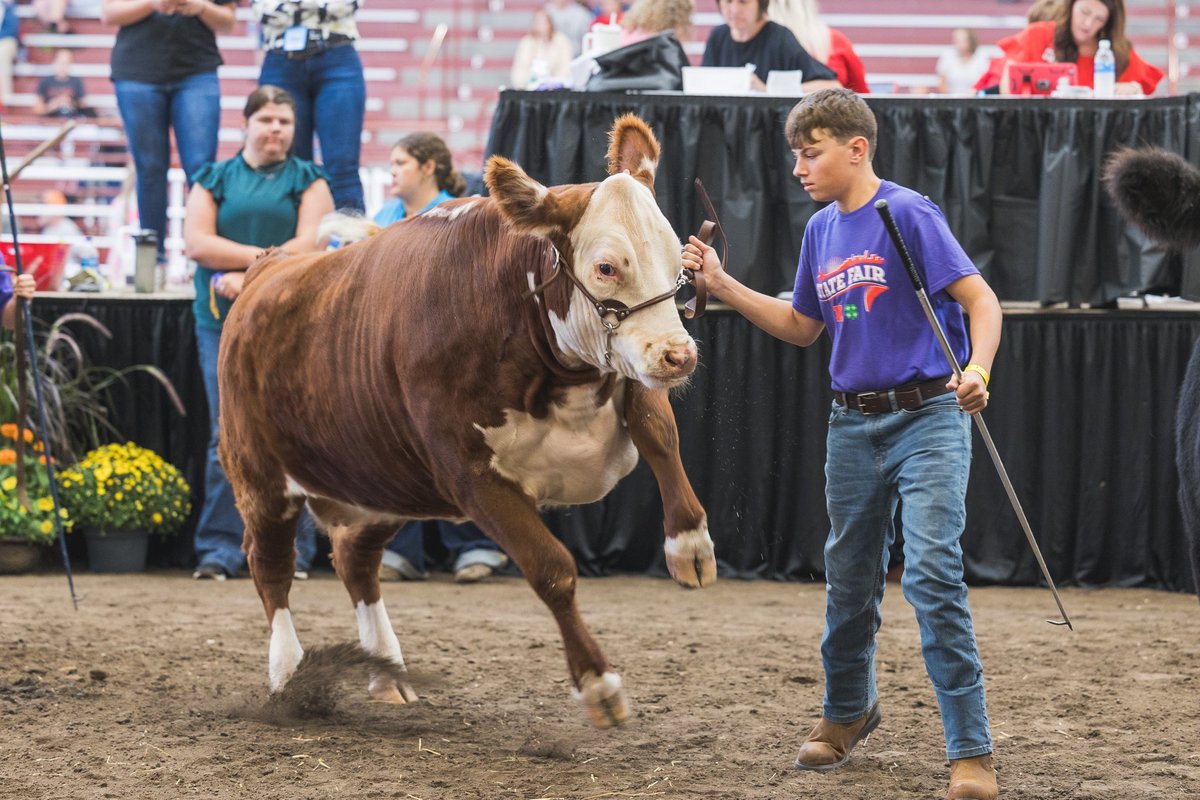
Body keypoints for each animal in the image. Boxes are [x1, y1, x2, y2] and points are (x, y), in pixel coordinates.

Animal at [217, 115, 718, 726]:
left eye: (678, 258)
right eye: (606, 267)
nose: (679, 356)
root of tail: (268, 266)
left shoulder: (623, 372)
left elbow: (659, 432)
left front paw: (690, 545)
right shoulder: (470, 474)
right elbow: (552, 569)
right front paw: (599, 684)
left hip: (387, 481)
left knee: (355, 558)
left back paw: (387, 671)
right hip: (260, 477)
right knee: (271, 565)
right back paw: (289, 676)